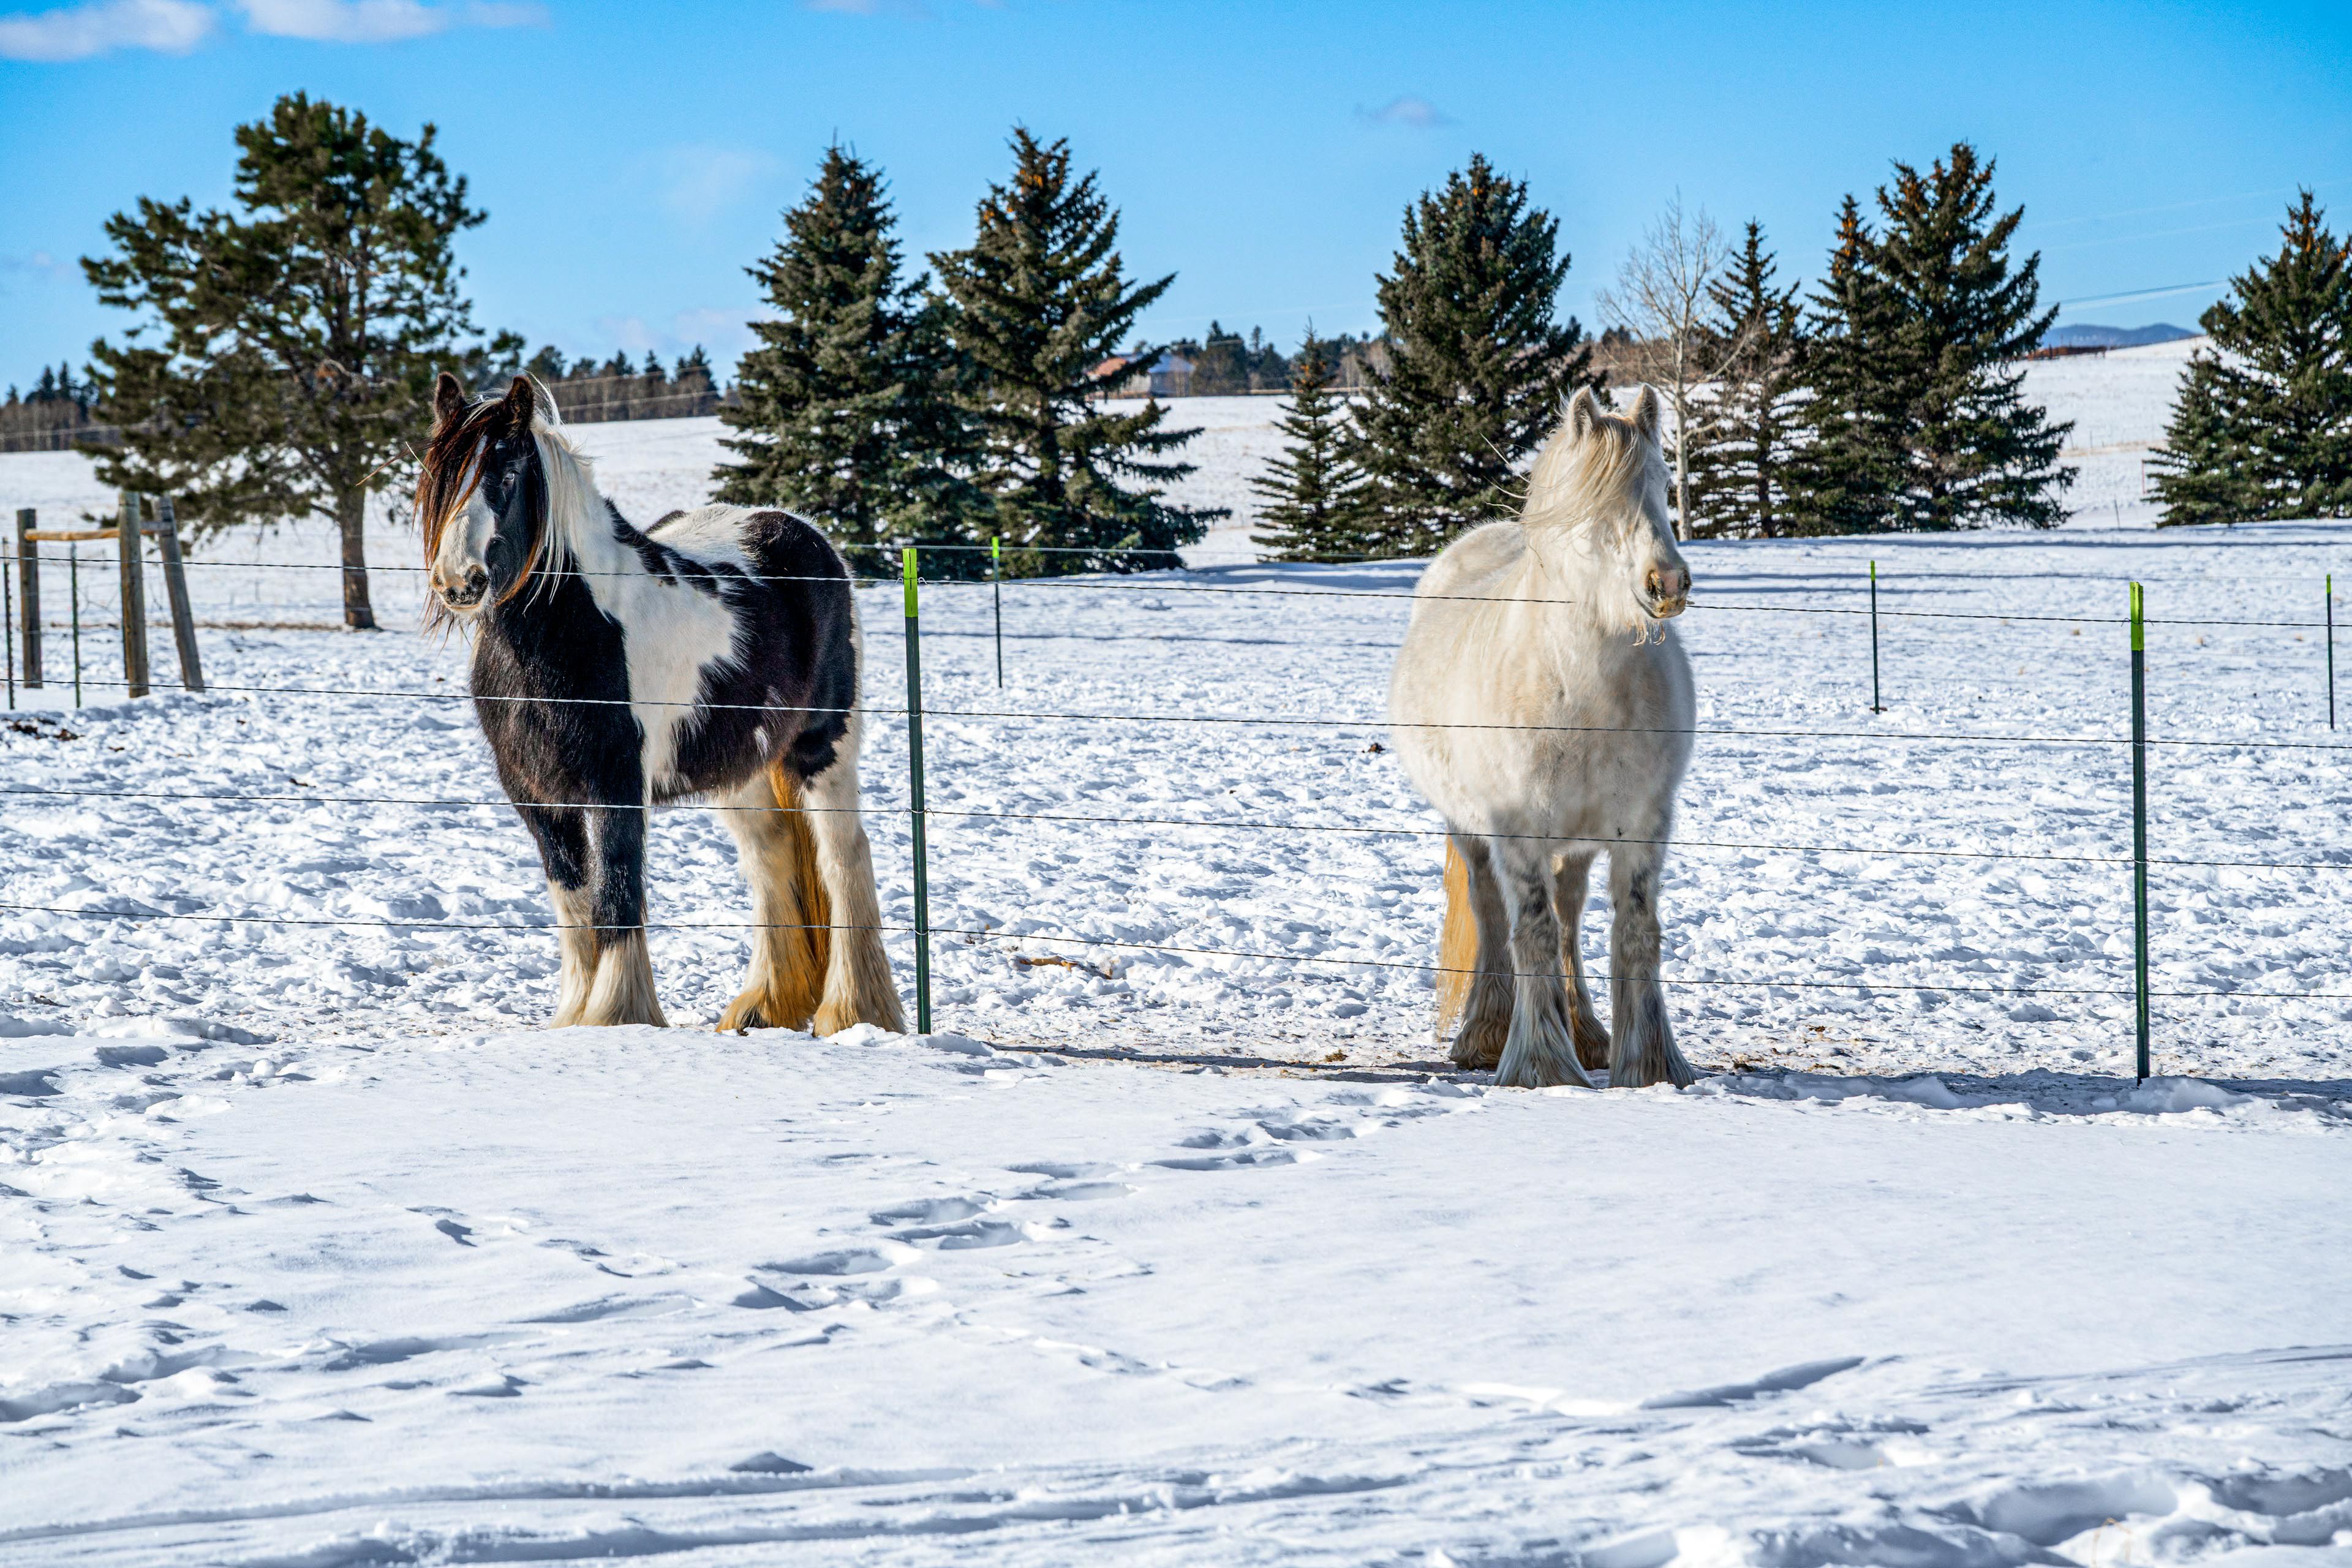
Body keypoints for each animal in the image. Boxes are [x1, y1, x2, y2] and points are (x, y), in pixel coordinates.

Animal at [417, 373, 904, 1036]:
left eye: (509, 473)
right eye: (439, 472)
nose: (458, 582)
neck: (569, 627)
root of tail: (807, 535)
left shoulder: (616, 782)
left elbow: (618, 891)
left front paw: (617, 1015)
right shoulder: (536, 796)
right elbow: (573, 902)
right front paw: (575, 1016)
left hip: (824, 749)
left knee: (843, 859)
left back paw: (855, 1012)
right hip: (741, 770)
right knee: (772, 856)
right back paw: (764, 1004)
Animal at [1388, 385, 1697, 1089]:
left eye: (1660, 484)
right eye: (1595, 504)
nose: (1666, 583)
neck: (1582, 691)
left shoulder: (1644, 826)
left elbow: (1636, 933)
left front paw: (1649, 1066)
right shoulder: (1517, 830)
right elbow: (1530, 932)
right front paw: (1541, 1067)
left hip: (1578, 841)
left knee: (1571, 914)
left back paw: (1588, 1034)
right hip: (1471, 829)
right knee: (1493, 912)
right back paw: (1485, 1033)